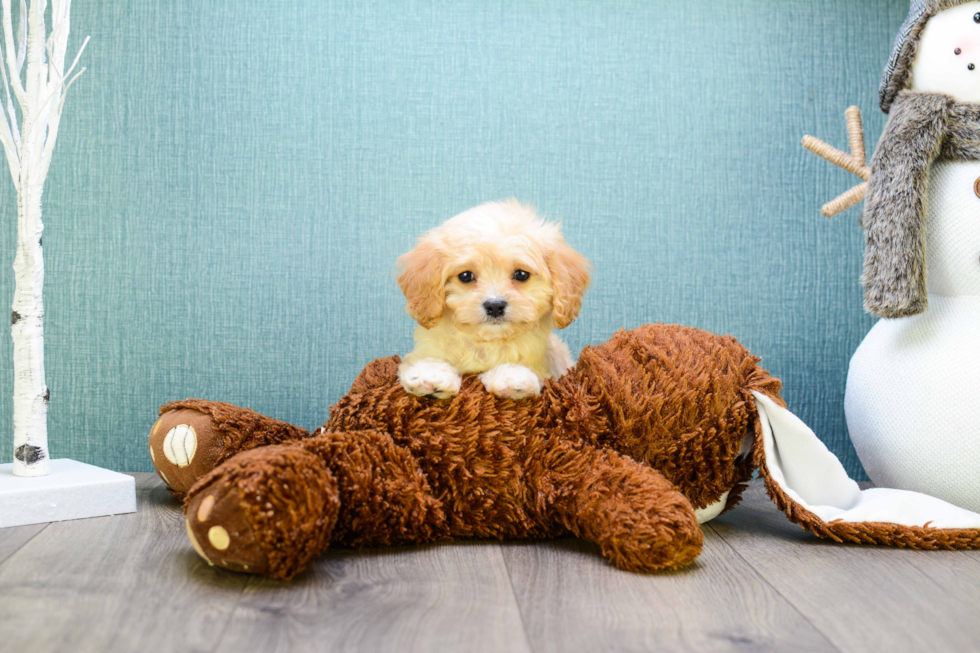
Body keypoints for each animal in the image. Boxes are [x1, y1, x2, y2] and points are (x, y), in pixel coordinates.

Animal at [396, 201, 588, 400]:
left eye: (521, 274)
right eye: (465, 276)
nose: (495, 306)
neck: (486, 343)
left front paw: (512, 376)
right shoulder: (427, 348)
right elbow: (425, 359)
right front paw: (430, 375)